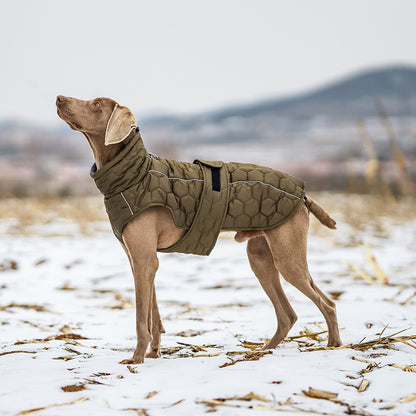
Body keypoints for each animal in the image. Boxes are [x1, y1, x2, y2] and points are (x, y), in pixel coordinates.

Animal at [55, 96, 342, 362]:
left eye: (96, 104)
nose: (59, 98)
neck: (134, 174)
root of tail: (303, 195)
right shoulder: (140, 260)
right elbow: (153, 316)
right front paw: (153, 353)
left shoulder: (144, 260)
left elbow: (140, 319)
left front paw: (136, 359)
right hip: (261, 258)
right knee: (287, 315)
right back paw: (262, 350)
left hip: (287, 258)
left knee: (327, 304)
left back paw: (333, 345)